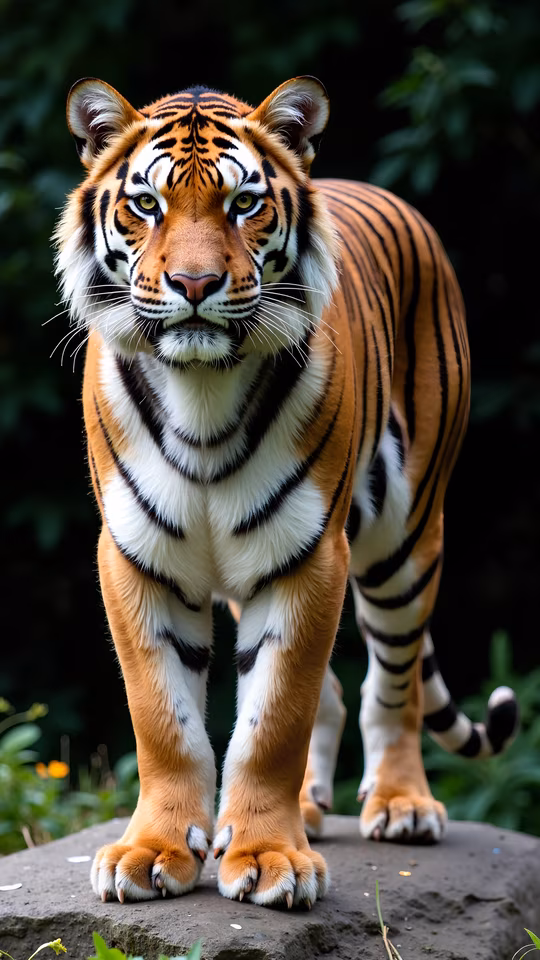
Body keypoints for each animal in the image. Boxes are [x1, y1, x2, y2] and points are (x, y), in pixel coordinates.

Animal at [55, 75, 518, 909]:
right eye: (146, 204)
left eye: (244, 204)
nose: (195, 285)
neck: (200, 389)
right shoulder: (137, 557)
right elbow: (164, 718)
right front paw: (152, 852)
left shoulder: (309, 556)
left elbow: (275, 719)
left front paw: (270, 858)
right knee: (334, 687)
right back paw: (310, 805)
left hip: (405, 539)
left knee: (391, 683)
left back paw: (401, 805)